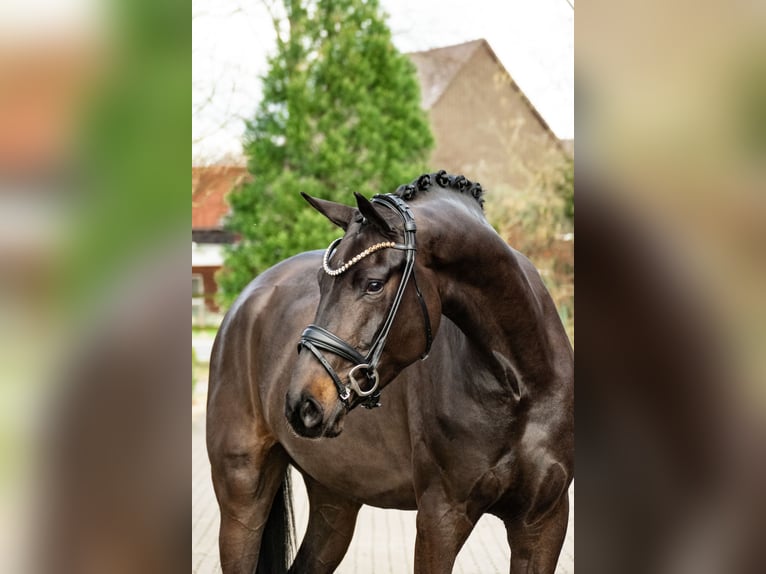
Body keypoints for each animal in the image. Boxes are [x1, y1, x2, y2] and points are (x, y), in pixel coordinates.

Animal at [207, 172, 572, 574]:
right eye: (321, 283)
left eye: (373, 284)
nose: (303, 404)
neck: (520, 384)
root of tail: (248, 300)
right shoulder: (440, 517)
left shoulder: (543, 521)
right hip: (242, 497)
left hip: (335, 498)